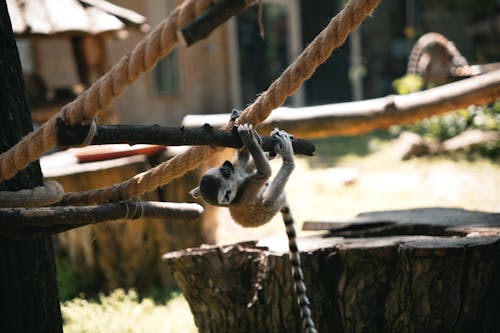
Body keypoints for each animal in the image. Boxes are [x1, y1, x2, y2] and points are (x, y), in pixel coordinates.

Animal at [190, 123, 316, 330]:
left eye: (224, 171)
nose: (227, 165)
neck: (237, 187)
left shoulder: (243, 177)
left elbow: (245, 163)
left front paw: (244, 136)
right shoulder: (248, 186)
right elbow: (265, 172)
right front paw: (249, 140)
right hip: (270, 206)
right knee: (266, 200)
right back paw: (287, 159)